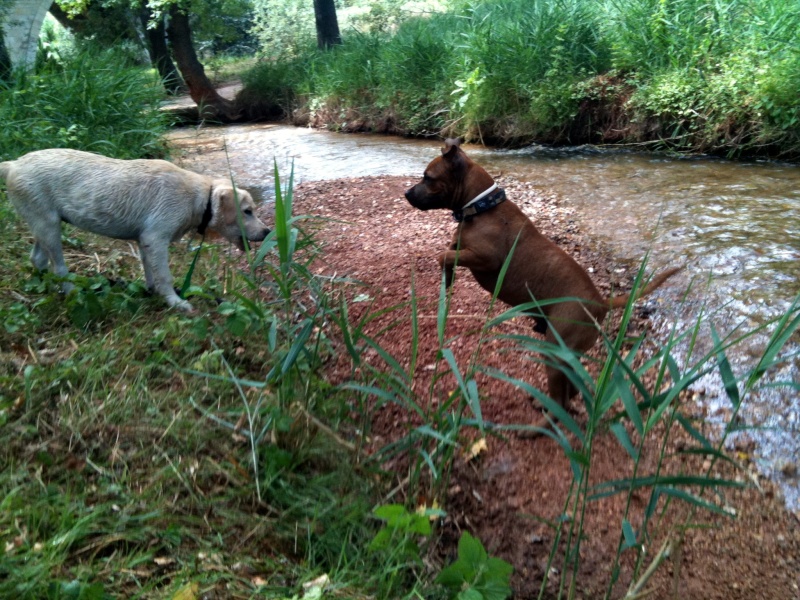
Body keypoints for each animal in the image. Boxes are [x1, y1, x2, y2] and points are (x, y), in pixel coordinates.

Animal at [0, 148, 272, 312]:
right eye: (248, 211)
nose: (268, 232)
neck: (199, 198)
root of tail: (14, 164)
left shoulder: (144, 241)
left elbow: (150, 271)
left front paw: (152, 292)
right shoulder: (156, 238)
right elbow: (164, 276)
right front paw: (176, 302)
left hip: (43, 225)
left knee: (37, 259)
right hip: (49, 228)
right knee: (59, 268)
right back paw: (72, 292)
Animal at [406, 139, 680, 408]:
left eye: (427, 177)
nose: (406, 193)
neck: (481, 209)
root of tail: (600, 301)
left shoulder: (486, 259)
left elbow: (444, 255)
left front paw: (448, 276)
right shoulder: (461, 245)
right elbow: (448, 252)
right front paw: (449, 276)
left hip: (557, 352)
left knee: (563, 398)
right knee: (572, 389)